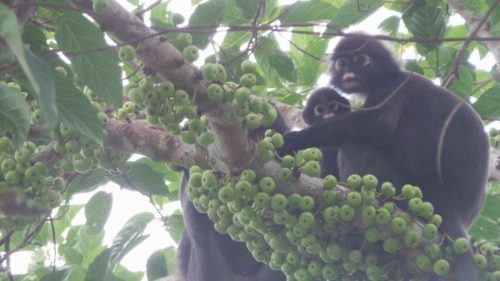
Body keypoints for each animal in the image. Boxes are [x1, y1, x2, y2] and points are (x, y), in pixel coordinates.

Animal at [280, 33, 490, 280]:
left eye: (362, 59)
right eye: (342, 63)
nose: (349, 72)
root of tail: (451, 208)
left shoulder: (391, 87)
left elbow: (380, 122)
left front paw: (293, 140)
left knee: (353, 144)